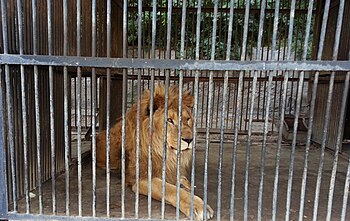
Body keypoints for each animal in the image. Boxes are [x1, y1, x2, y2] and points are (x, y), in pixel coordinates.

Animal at [97, 83, 215, 220]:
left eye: (187, 119)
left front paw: (186, 185)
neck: (163, 152)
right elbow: (171, 189)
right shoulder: (141, 177)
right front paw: (198, 206)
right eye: (169, 120)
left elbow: (180, 180)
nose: (189, 139)